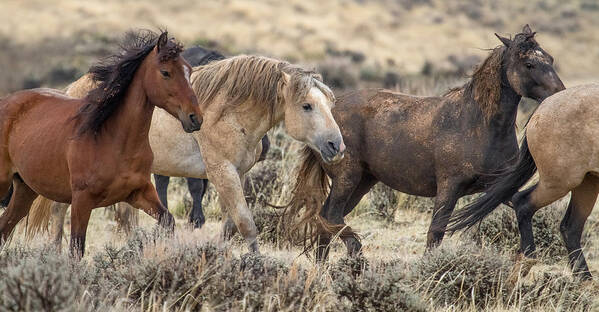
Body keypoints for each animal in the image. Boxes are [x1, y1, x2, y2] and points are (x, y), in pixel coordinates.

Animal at [0, 30, 203, 258]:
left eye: (189, 71)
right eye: (166, 72)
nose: (195, 118)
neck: (111, 139)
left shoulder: (139, 192)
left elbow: (167, 220)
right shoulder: (81, 200)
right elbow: (76, 248)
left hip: (24, 191)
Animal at [30, 54, 344, 254]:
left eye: (330, 103)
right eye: (306, 106)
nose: (336, 146)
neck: (228, 112)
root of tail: (72, 89)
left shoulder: (237, 174)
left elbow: (230, 225)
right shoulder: (221, 171)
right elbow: (246, 224)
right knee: (60, 210)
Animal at [286, 25, 568, 260]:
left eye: (551, 59)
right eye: (529, 63)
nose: (560, 96)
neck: (478, 124)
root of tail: (329, 111)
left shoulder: (500, 186)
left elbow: (523, 206)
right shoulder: (449, 187)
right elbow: (436, 231)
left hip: (363, 181)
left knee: (326, 219)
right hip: (348, 177)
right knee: (330, 215)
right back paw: (355, 253)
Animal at [448, 84, 599, 280]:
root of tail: (544, 106)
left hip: (587, 182)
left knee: (570, 227)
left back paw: (584, 280)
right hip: (559, 183)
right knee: (523, 203)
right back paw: (528, 259)